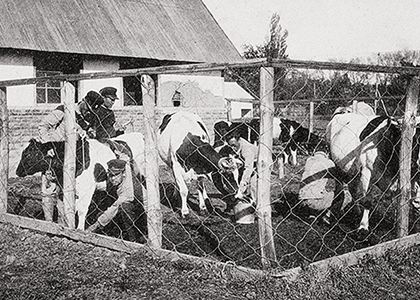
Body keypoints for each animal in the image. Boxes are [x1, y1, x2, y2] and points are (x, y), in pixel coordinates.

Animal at [15, 132, 146, 230]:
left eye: (28, 154)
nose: (17, 171)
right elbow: (64, 209)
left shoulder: (87, 188)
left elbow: (82, 209)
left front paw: (80, 229)